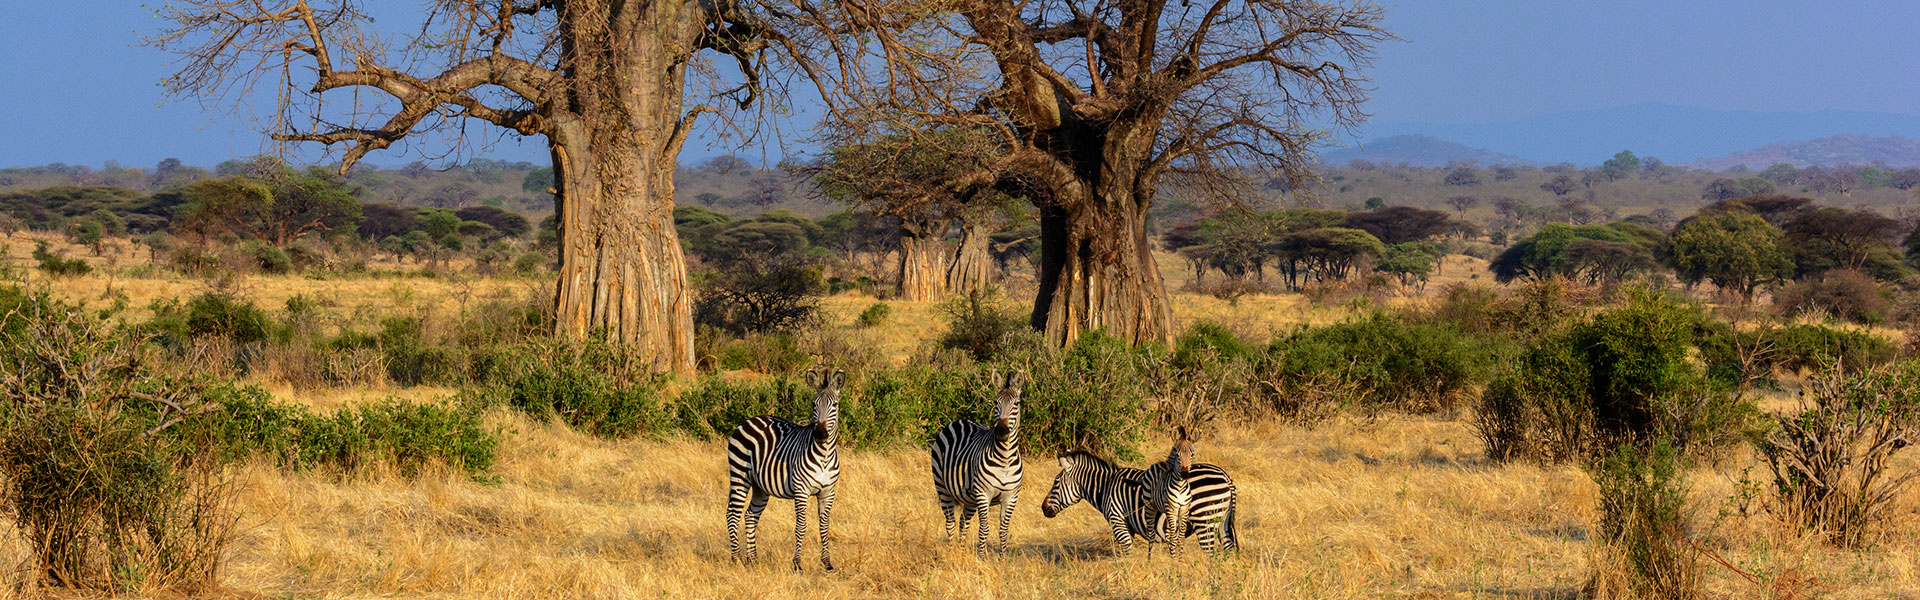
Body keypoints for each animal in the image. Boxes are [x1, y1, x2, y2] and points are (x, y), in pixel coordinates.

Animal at [721, 367, 837, 569]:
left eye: (835, 405)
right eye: (814, 405)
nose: (821, 434)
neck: (824, 455)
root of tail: (748, 420)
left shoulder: (827, 492)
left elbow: (824, 527)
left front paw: (827, 563)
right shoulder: (801, 490)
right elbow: (801, 526)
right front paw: (797, 564)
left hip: (760, 486)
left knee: (750, 515)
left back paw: (753, 559)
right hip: (739, 475)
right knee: (733, 514)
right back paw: (736, 559)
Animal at [925, 367, 1021, 553]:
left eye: (1017, 404)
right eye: (995, 402)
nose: (1001, 432)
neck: (1005, 459)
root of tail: (959, 420)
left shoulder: (1011, 497)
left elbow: (1004, 531)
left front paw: (1003, 557)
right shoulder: (983, 494)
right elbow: (984, 529)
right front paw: (982, 556)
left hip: (969, 498)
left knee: (964, 521)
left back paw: (962, 551)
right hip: (942, 487)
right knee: (950, 523)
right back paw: (951, 552)